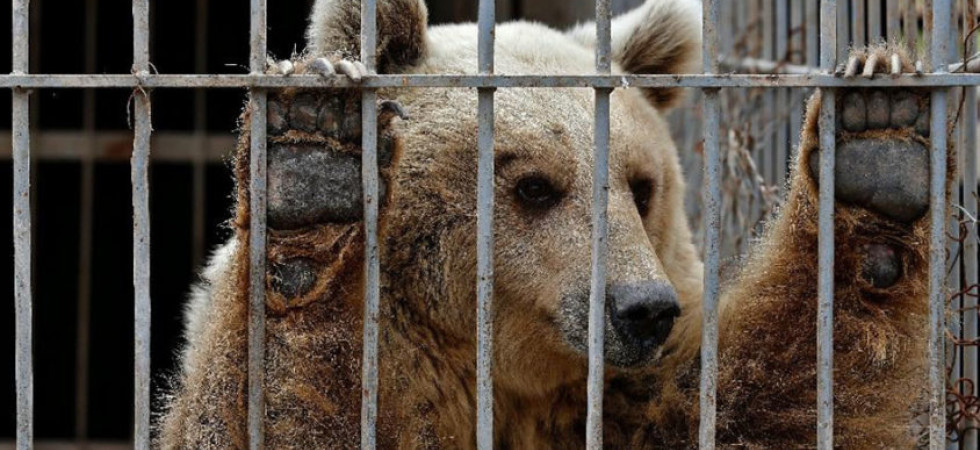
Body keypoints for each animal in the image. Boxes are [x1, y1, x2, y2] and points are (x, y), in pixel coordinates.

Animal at [157, 0, 954, 447]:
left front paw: (878, 141)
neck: (508, 377)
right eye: (534, 185)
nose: (642, 309)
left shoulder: (634, 394)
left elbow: (765, 404)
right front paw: (315, 164)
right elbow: (277, 404)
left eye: (641, 186)